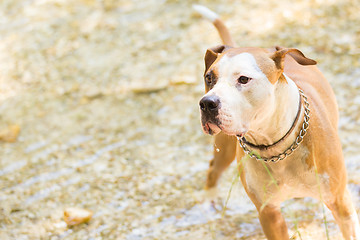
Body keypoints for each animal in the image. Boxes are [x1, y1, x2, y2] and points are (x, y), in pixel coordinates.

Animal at [194, 4, 360, 240]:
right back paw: (208, 204)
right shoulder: (269, 213)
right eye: (209, 78)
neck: (275, 146)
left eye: (243, 79)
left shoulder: (341, 205)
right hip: (224, 147)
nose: (207, 103)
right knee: (213, 170)